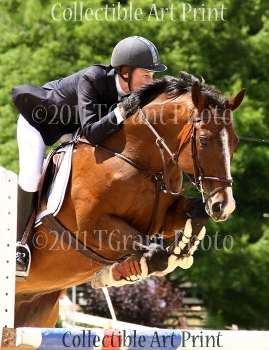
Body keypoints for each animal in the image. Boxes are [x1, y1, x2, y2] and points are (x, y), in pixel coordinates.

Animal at [14, 72, 245, 328]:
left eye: (234, 142)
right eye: (204, 141)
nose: (224, 206)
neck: (141, 161)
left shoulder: (162, 219)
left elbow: (196, 213)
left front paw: (182, 247)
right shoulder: (92, 227)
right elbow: (156, 254)